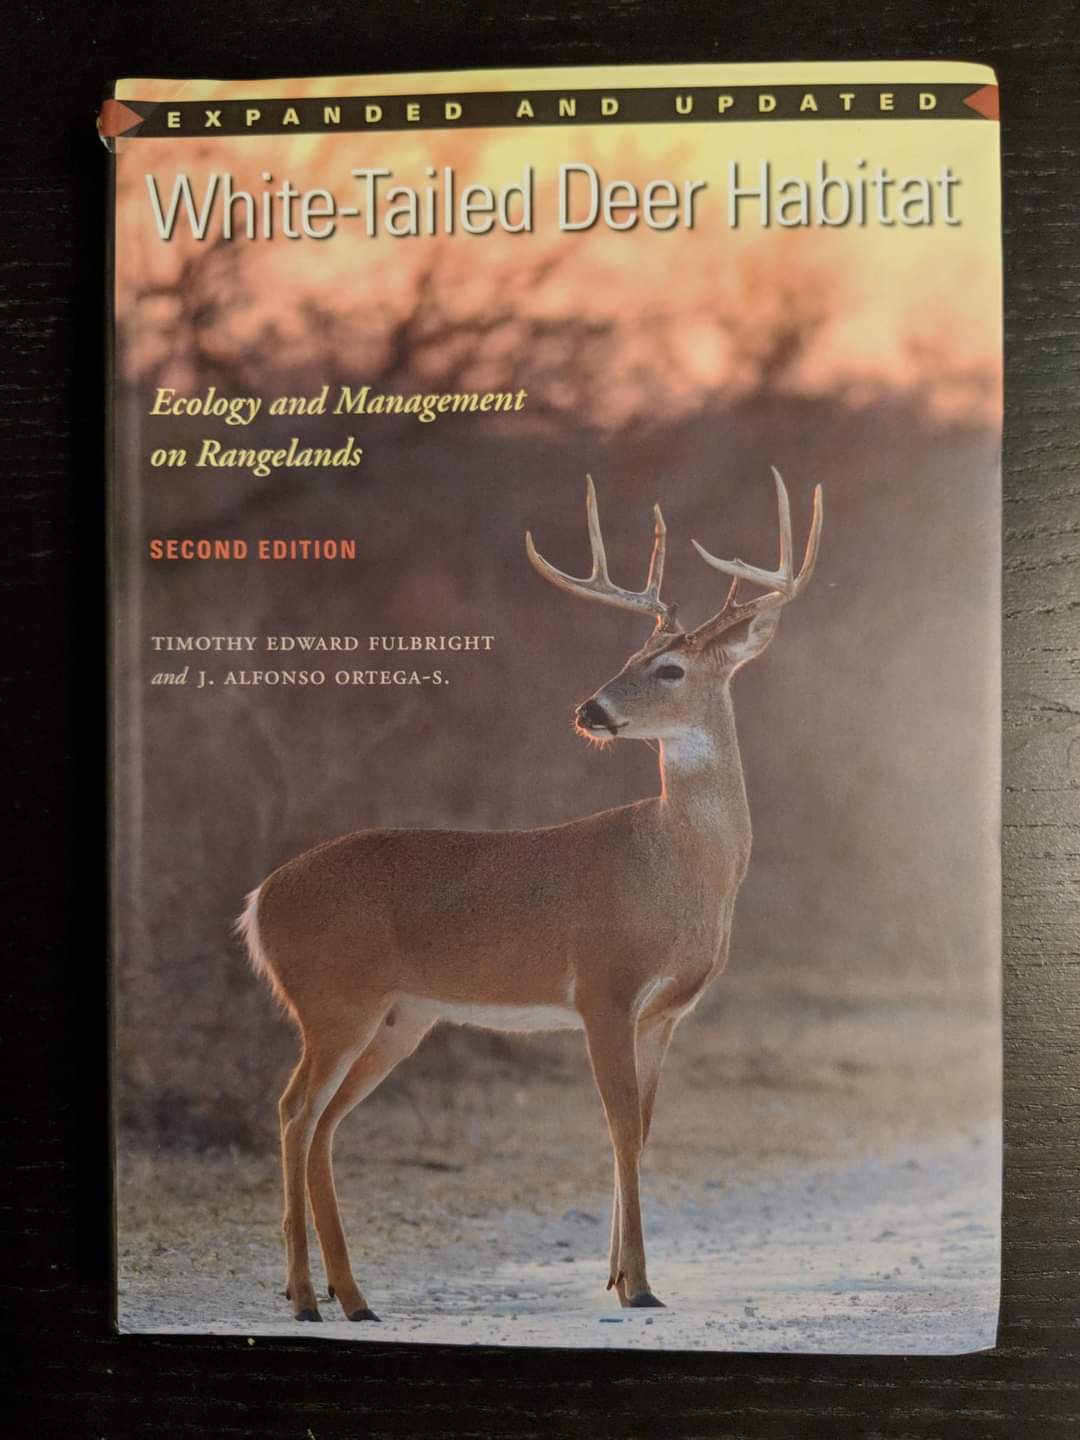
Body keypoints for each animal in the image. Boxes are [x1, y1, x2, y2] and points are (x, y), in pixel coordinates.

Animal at [239, 468, 822, 1323]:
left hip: (398, 1018)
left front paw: (617, 1275)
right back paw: (313, 1297)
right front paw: (638, 1285)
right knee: (292, 1112)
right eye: (630, 654)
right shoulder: (604, 986)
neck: (679, 870)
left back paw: (346, 1297)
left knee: (320, 1124)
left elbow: (643, 1127)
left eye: (669, 669)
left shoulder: (665, 1013)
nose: (590, 710)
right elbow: (620, 1126)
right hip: (332, 998)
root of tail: (257, 902)